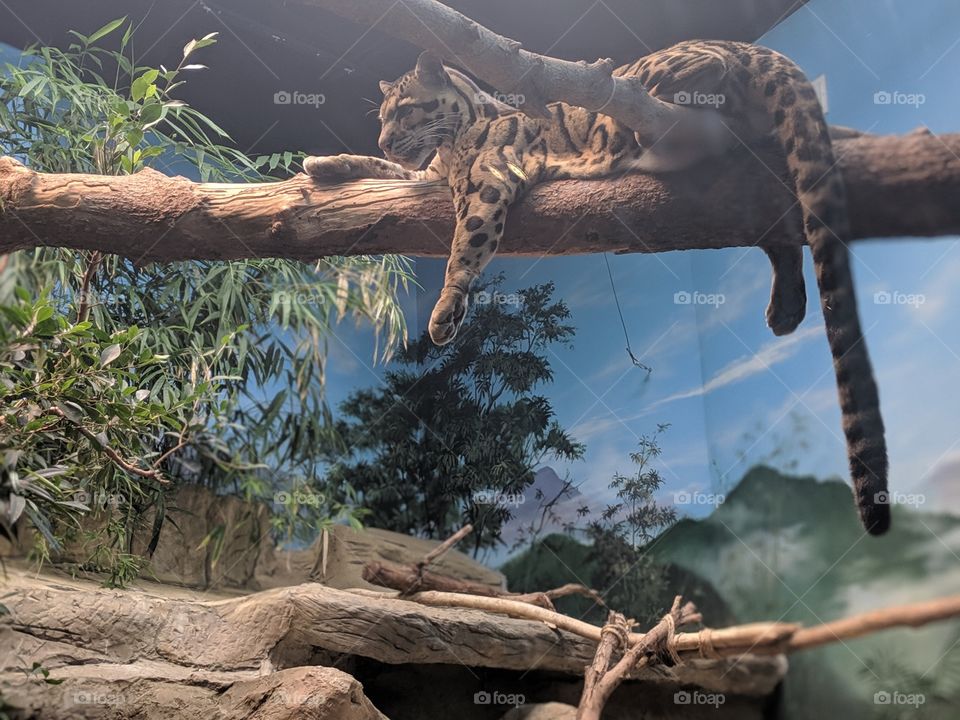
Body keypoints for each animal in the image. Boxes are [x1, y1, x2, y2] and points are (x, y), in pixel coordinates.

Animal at [303, 41, 889, 535]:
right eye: (381, 118)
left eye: (404, 111)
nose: (385, 136)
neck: (451, 148)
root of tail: (750, 45)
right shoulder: (426, 176)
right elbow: (383, 170)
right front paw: (324, 163)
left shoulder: (488, 179)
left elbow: (464, 246)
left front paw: (446, 310)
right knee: (777, 235)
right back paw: (785, 309)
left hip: (669, 77)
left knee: (689, 76)